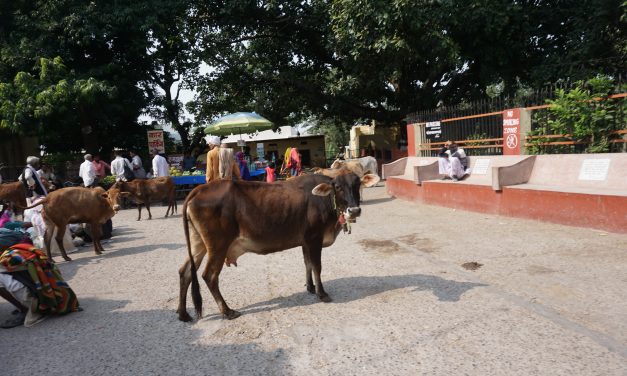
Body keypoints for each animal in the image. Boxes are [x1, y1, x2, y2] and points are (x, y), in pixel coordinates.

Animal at [179, 172, 380, 322]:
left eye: (357, 185)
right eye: (337, 187)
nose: (354, 210)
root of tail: (199, 189)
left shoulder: (305, 241)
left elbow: (307, 264)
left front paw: (310, 287)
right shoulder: (314, 238)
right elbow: (317, 266)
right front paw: (321, 293)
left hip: (198, 243)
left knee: (185, 272)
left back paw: (183, 313)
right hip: (218, 245)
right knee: (209, 276)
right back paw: (227, 311)